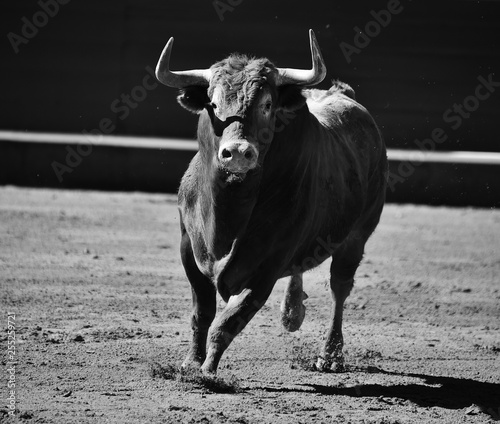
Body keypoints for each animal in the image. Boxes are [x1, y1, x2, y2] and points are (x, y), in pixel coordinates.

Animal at [154, 37, 388, 374]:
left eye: (267, 105)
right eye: (213, 104)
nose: (238, 153)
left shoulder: (269, 264)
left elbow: (229, 321)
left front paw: (208, 371)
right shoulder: (188, 247)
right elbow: (203, 312)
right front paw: (191, 362)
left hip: (357, 236)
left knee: (340, 287)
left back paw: (330, 354)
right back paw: (292, 312)